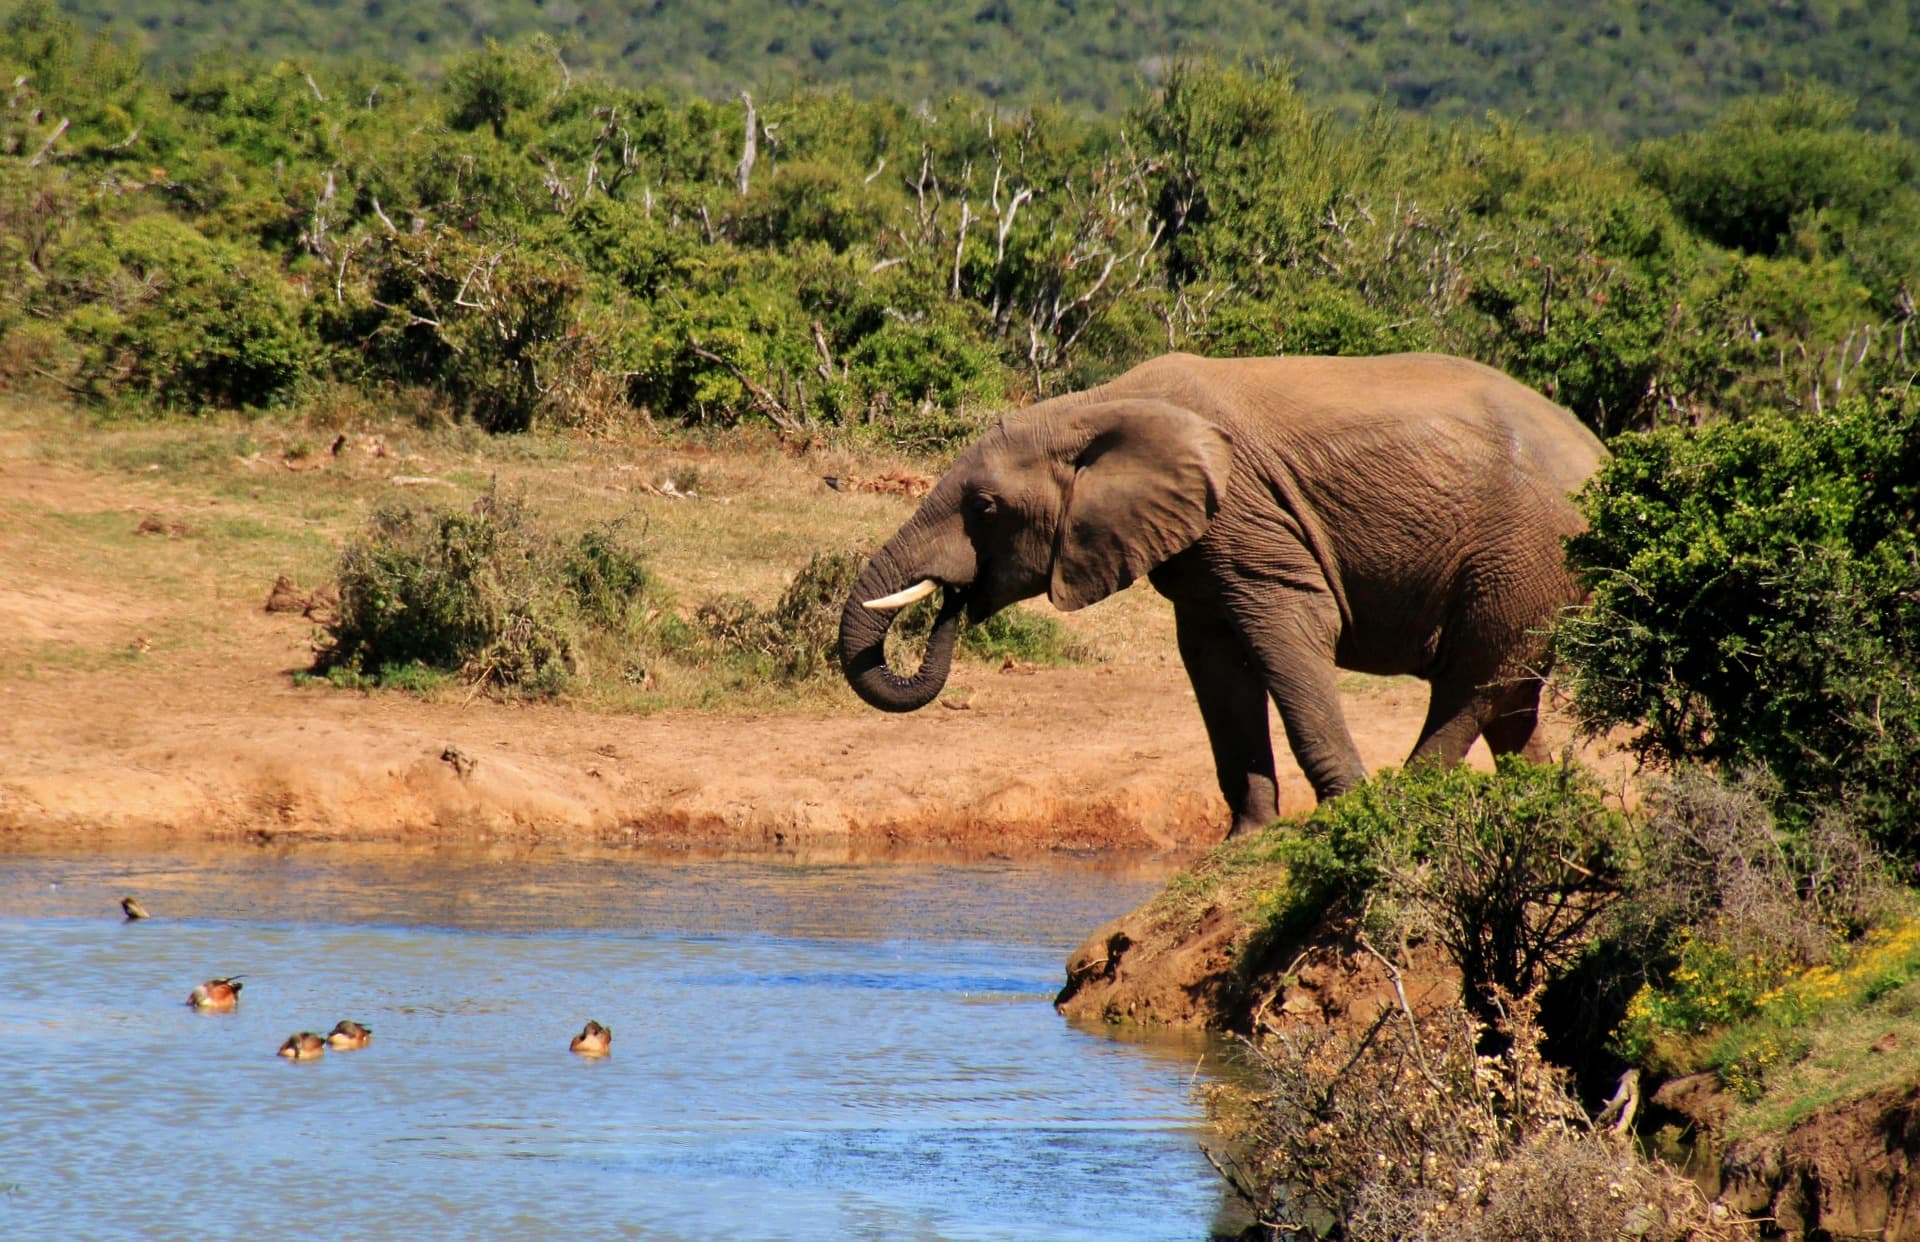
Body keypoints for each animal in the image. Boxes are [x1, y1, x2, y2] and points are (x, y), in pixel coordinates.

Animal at [838, 352, 1608, 839]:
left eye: (986, 507)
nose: (954, 600)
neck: (1095, 407)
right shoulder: (1200, 552)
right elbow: (1216, 666)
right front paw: (1247, 837)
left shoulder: (1249, 518)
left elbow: (1288, 634)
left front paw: (1344, 817)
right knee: (1511, 696)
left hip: (1525, 552)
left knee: (1473, 678)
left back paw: (1403, 802)